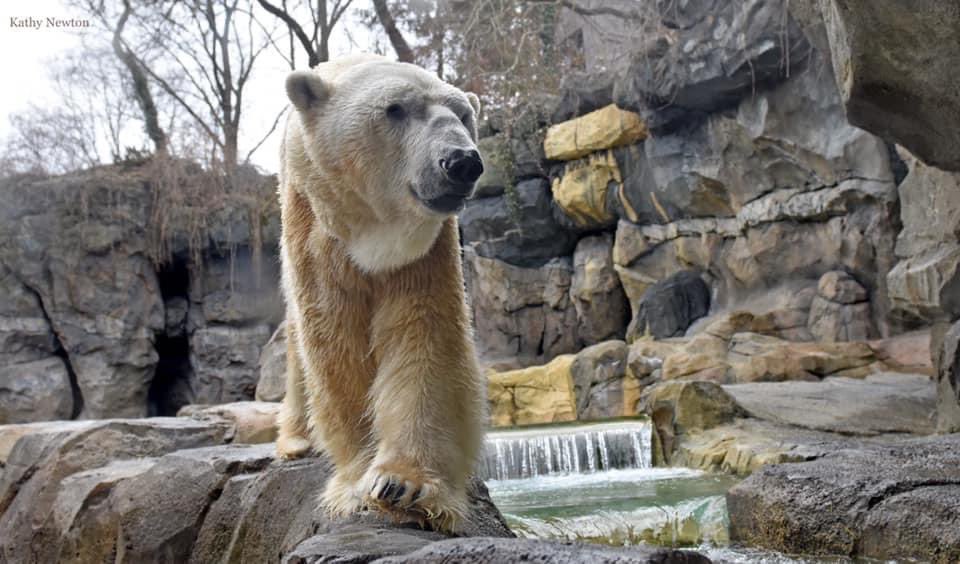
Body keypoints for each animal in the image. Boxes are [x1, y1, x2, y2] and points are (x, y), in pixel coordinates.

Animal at [274, 54, 487, 533]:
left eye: (464, 114)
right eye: (394, 109)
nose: (461, 161)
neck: (372, 231)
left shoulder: (423, 254)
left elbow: (424, 338)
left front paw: (403, 485)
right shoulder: (316, 233)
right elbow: (336, 345)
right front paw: (358, 482)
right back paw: (295, 440)